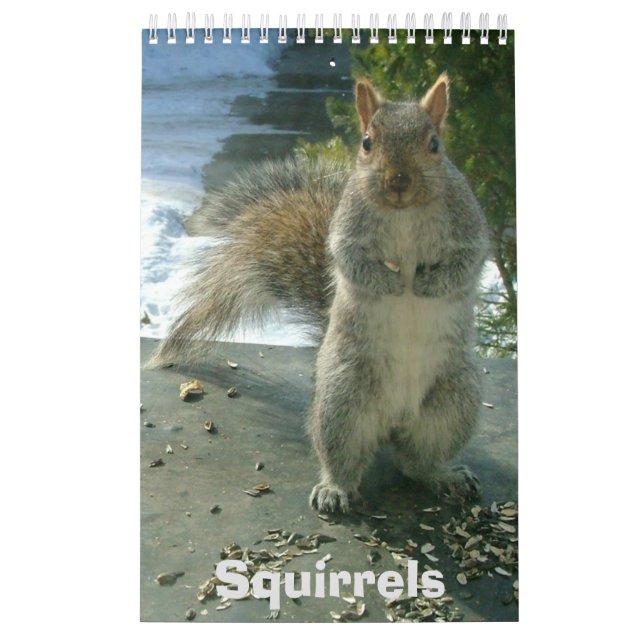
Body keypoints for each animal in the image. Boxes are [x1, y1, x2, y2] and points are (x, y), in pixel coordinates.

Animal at [149, 74, 490, 514]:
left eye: (435, 144)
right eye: (367, 142)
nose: (398, 181)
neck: (404, 212)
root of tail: (393, 423)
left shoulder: (468, 225)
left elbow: (467, 261)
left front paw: (427, 284)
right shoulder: (346, 231)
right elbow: (351, 261)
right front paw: (392, 284)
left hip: (453, 401)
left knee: (416, 461)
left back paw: (445, 475)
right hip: (341, 402)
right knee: (345, 457)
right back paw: (334, 489)